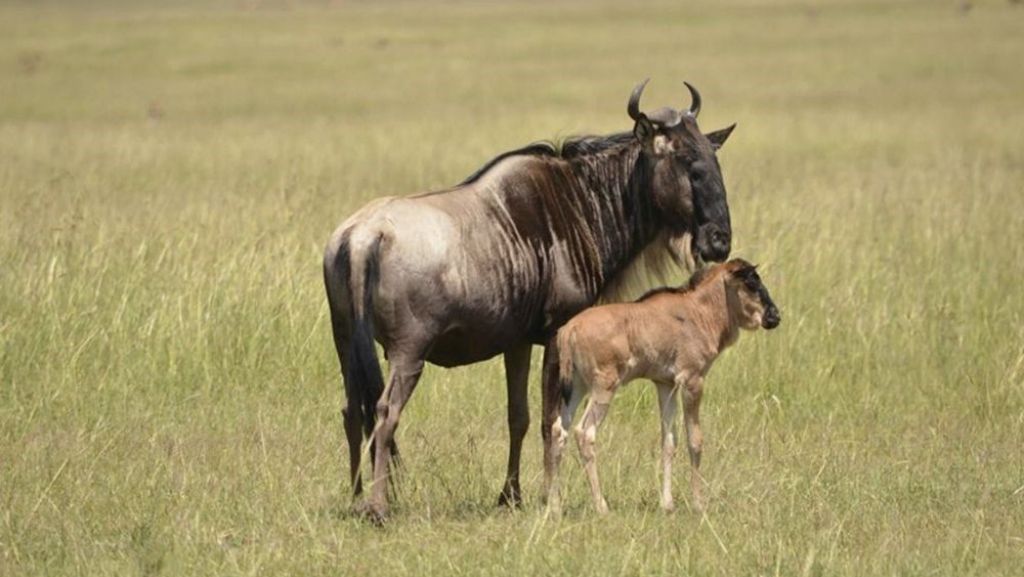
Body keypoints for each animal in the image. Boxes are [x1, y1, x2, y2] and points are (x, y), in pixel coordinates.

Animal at [544, 258, 782, 514]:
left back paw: (554, 506)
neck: (698, 312)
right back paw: (601, 506)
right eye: (750, 283)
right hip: (603, 387)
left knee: (559, 430)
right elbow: (694, 440)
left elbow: (668, 441)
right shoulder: (692, 381)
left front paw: (667, 504)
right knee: (585, 432)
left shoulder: (665, 385)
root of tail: (569, 329)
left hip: (576, 388)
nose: (774, 316)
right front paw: (698, 504)